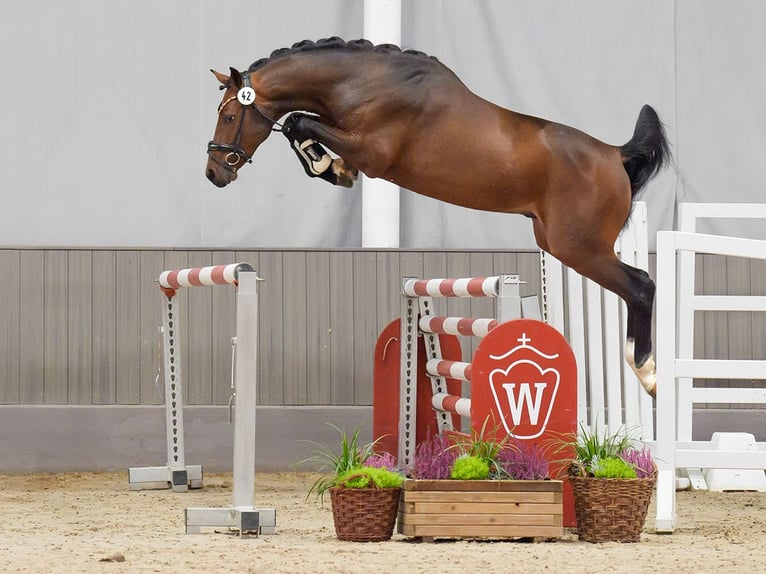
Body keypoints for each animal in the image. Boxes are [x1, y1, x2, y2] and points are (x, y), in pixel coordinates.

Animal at [207, 36, 668, 396]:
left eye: (229, 116)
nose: (214, 173)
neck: (364, 82)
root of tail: (614, 155)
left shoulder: (372, 151)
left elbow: (300, 121)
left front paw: (328, 166)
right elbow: (301, 124)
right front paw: (333, 169)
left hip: (579, 247)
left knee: (641, 286)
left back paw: (647, 372)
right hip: (558, 244)